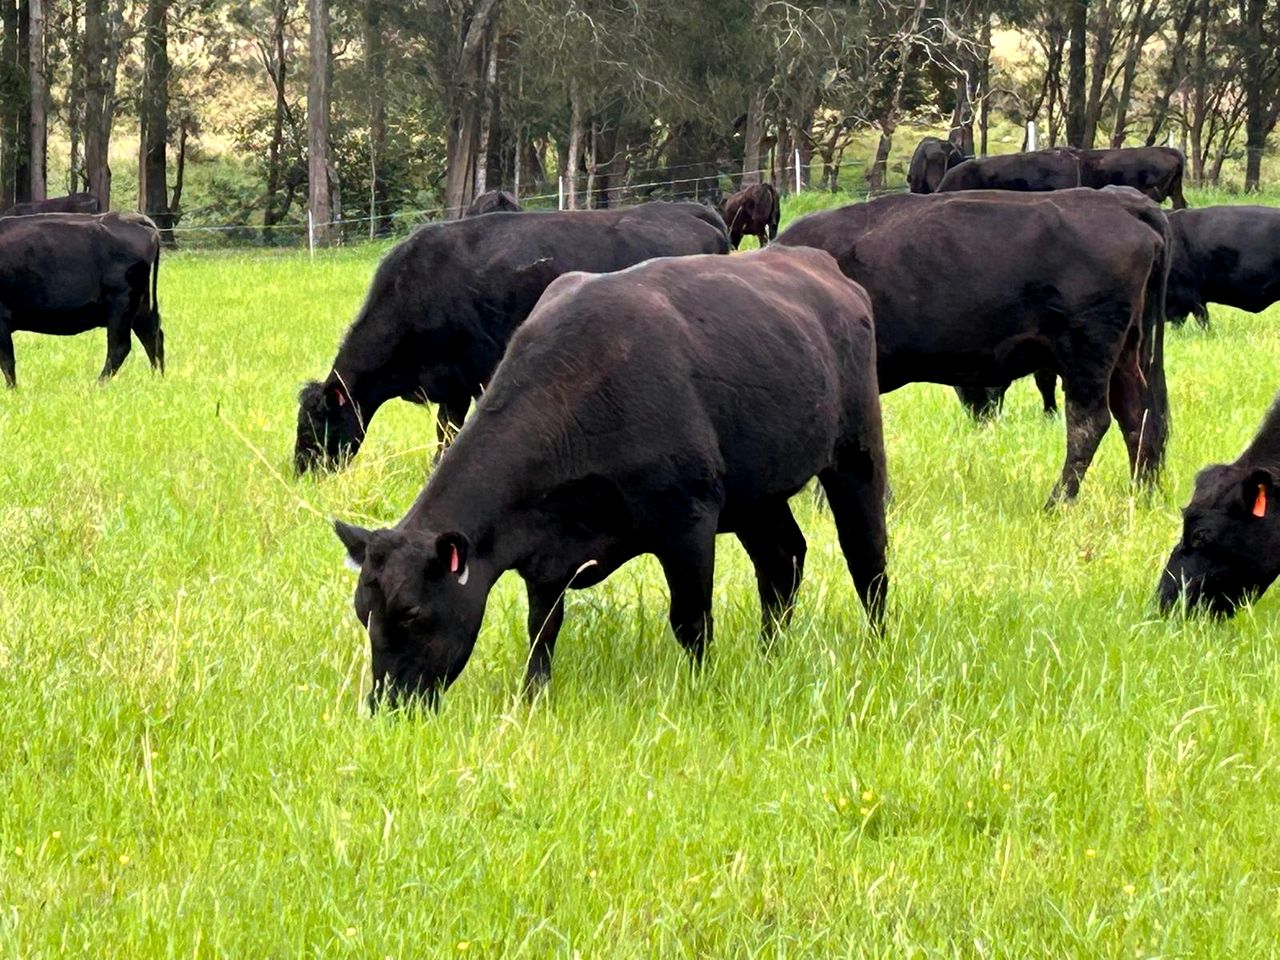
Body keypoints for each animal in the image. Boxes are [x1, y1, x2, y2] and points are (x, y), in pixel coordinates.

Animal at [0, 212, 163, 387]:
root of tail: (134, 217)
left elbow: (7, 361)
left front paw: (12, 390)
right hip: (140, 304)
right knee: (152, 335)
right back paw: (158, 380)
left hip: (121, 303)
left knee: (120, 346)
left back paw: (97, 385)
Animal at [295, 201, 730, 474]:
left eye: (315, 425)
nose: (302, 470)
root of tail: (692, 209)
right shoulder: (450, 382)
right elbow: (445, 429)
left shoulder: (469, 372)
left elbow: (450, 430)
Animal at [332, 245, 887, 709]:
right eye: (363, 612)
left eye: (412, 613)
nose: (386, 704)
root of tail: (817, 264)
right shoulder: (545, 553)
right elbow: (542, 627)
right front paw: (533, 697)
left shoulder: (688, 520)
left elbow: (691, 620)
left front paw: (700, 688)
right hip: (755, 494)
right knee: (782, 560)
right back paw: (770, 654)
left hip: (855, 456)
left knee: (867, 558)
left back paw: (878, 644)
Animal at [776, 188, 1171, 505]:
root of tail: (1117, 201)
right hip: (1125, 353)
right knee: (1137, 415)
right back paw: (1142, 494)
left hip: (1085, 352)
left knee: (1089, 422)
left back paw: (1058, 502)